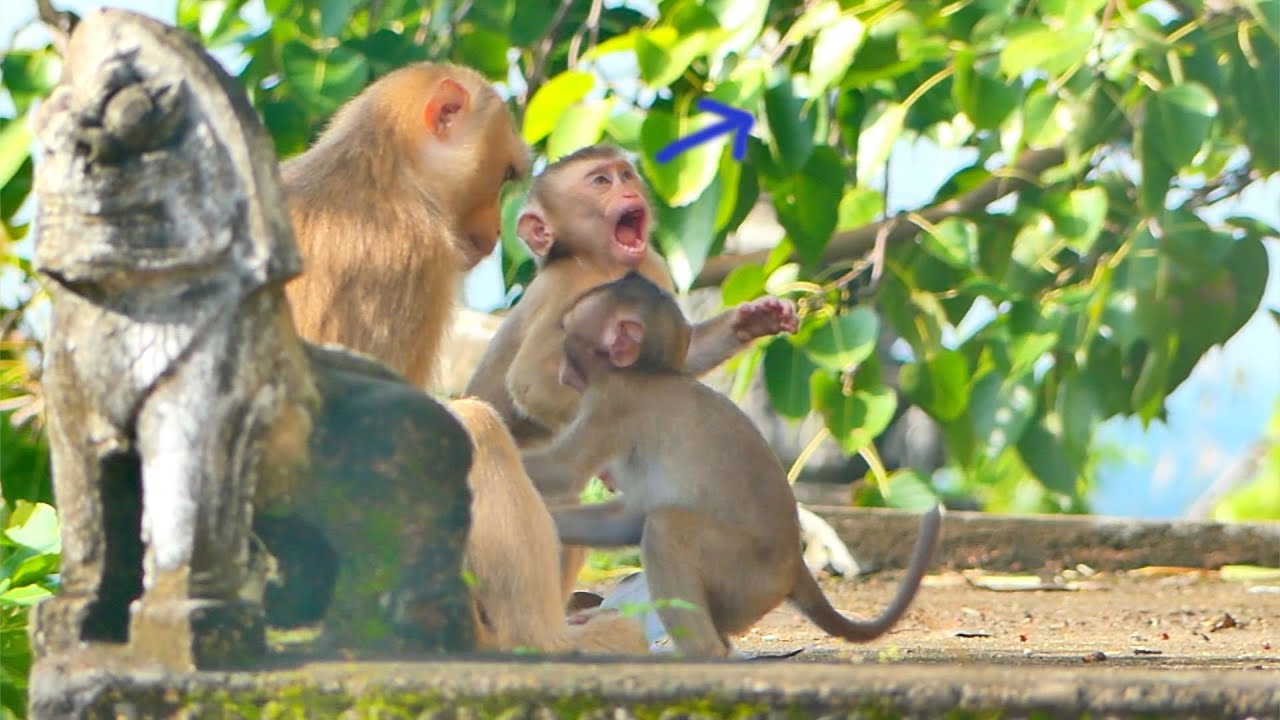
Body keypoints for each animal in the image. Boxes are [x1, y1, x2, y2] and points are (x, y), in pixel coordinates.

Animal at [521, 272, 943, 658]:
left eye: (568, 340)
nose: (562, 374)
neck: (648, 371)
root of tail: (794, 566)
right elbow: (627, 517)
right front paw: (550, 522)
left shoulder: (612, 400)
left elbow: (566, 468)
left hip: (747, 577)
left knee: (666, 529)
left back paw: (703, 653)